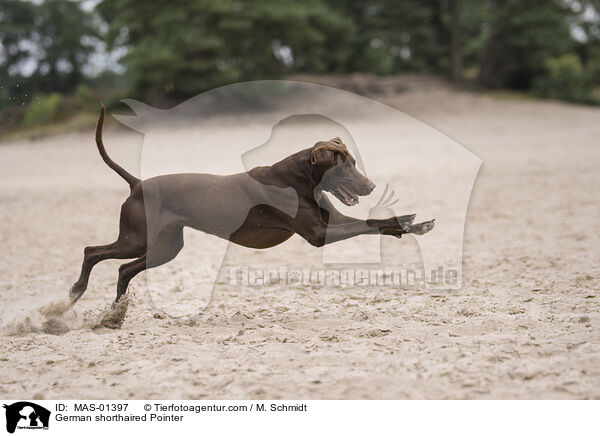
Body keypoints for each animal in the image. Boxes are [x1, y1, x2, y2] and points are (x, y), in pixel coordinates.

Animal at [69, 106, 436, 304]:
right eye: (344, 166)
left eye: (354, 163)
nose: (371, 185)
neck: (301, 177)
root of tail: (137, 183)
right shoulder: (319, 234)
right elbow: (367, 224)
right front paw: (406, 221)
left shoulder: (331, 219)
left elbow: (375, 224)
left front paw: (412, 224)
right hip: (138, 237)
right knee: (93, 252)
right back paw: (78, 292)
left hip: (166, 245)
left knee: (123, 269)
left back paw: (116, 310)